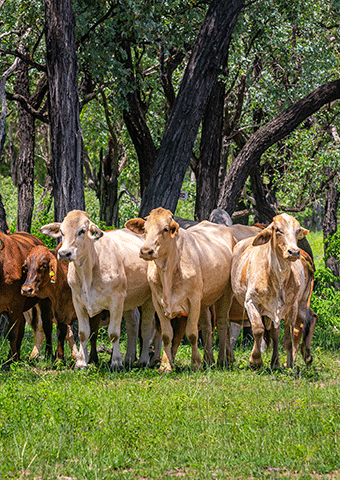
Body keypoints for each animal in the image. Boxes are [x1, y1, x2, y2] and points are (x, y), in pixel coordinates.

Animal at [40, 210, 155, 372]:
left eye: (82, 231)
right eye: (62, 231)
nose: (64, 253)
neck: (89, 271)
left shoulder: (116, 301)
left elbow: (114, 333)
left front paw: (116, 362)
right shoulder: (78, 302)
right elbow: (83, 333)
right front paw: (81, 362)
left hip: (149, 299)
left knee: (146, 327)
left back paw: (143, 360)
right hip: (130, 301)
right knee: (133, 324)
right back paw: (129, 359)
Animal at [125, 207, 236, 372]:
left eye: (165, 229)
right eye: (145, 228)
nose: (146, 251)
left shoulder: (194, 300)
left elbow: (192, 334)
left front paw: (195, 363)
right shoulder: (158, 302)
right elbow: (167, 335)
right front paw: (165, 365)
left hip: (225, 294)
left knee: (222, 324)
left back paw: (222, 361)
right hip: (204, 301)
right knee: (207, 326)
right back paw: (208, 360)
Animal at [232, 212, 310, 370]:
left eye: (297, 231)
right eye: (278, 230)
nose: (294, 252)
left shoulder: (291, 307)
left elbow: (287, 337)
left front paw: (290, 365)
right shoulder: (251, 302)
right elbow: (258, 329)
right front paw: (255, 360)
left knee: (275, 333)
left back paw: (275, 362)